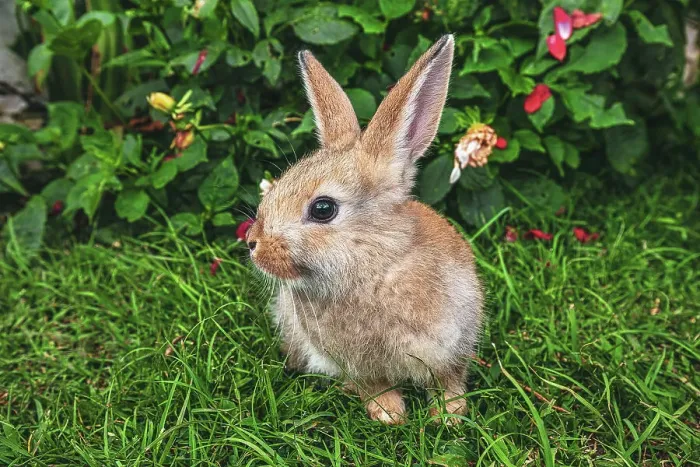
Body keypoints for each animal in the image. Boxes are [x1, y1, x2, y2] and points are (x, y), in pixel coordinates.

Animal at [246, 34, 484, 425]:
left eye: (323, 209)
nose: (253, 243)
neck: (375, 265)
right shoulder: (357, 364)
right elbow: (375, 385)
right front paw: (390, 414)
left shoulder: (454, 343)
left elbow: (449, 379)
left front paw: (449, 415)